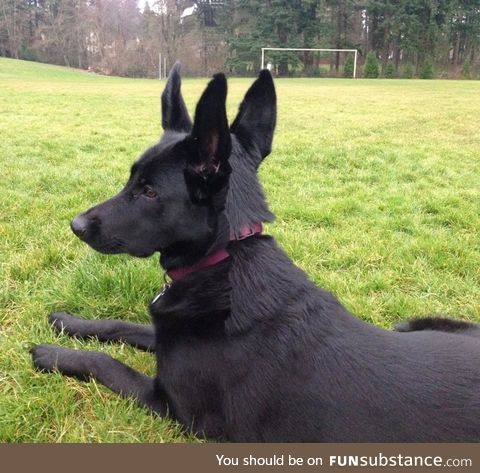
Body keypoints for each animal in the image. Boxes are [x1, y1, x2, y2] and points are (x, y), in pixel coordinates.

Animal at [31, 64, 478, 440]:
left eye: (149, 191)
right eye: (131, 180)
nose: (76, 224)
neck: (225, 260)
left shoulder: (175, 408)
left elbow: (107, 363)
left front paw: (52, 353)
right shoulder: (165, 337)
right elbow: (123, 325)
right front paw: (69, 321)